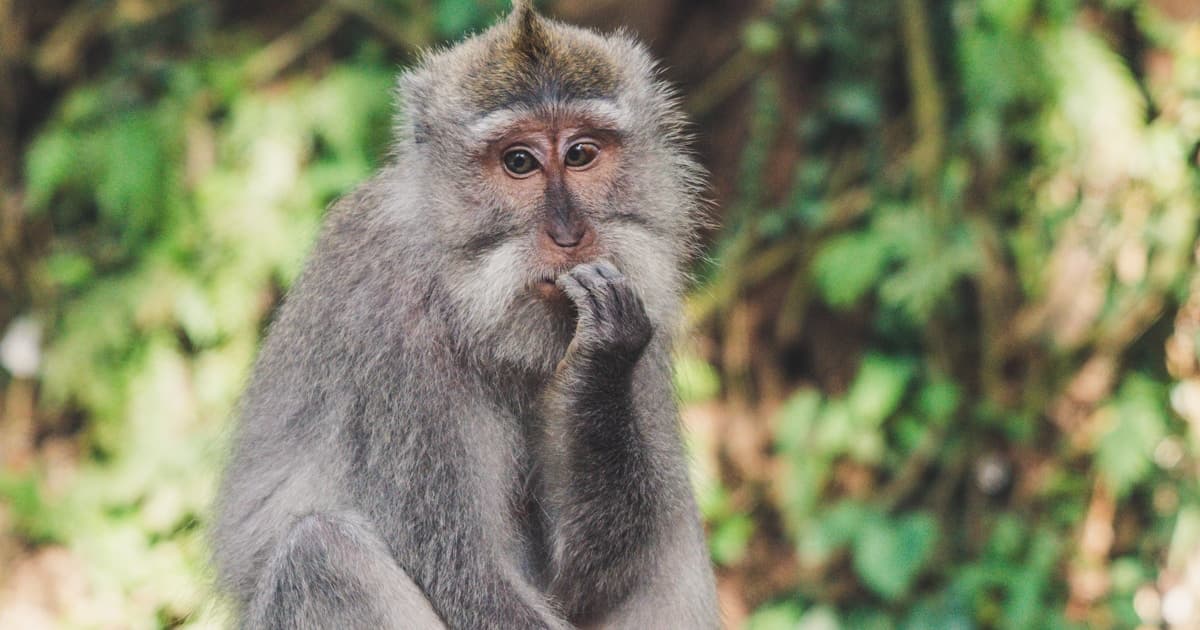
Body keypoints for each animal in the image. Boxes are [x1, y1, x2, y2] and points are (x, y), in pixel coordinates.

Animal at [211, 2, 719, 628]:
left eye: (580, 153)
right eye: (519, 161)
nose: (569, 234)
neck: (467, 300)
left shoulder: (641, 295)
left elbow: (587, 579)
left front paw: (601, 364)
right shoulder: (394, 339)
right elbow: (465, 575)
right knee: (319, 551)